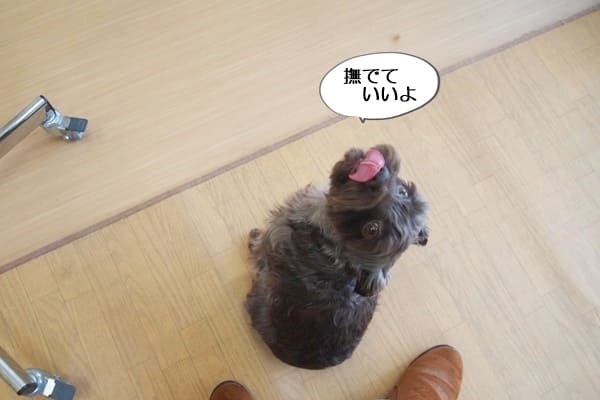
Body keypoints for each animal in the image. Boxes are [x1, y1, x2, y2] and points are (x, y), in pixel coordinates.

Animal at [245, 144, 428, 369]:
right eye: (403, 192)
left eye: (371, 229)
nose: (377, 175)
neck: (332, 238)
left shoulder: (271, 238)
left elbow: (258, 245)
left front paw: (253, 238)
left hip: (260, 299)